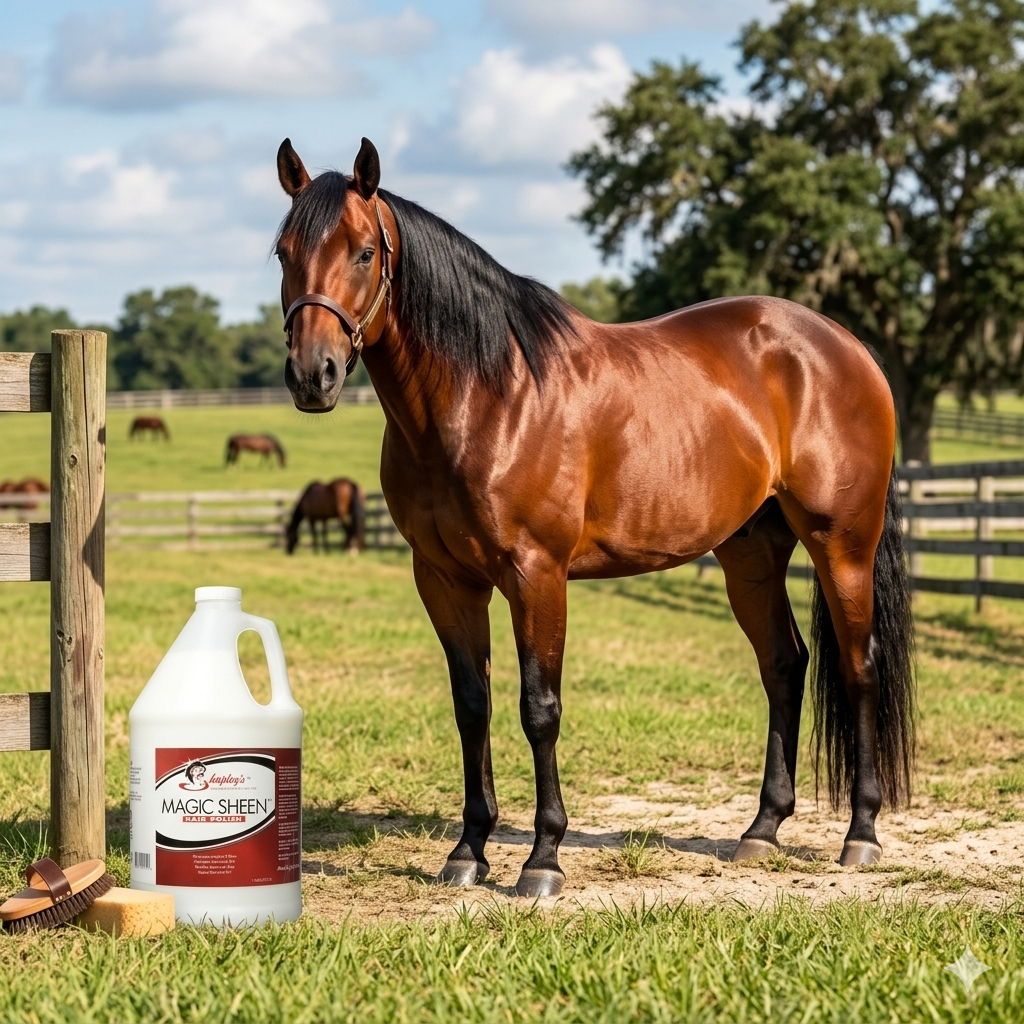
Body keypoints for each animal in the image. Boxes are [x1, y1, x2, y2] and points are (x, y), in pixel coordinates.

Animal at [273, 136, 915, 897]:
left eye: (365, 251)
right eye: (282, 252)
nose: (313, 375)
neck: (487, 394)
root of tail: (846, 348)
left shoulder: (536, 575)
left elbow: (539, 708)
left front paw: (543, 858)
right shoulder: (445, 580)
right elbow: (472, 705)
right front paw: (469, 850)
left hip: (841, 544)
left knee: (859, 667)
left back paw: (861, 834)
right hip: (750, 554)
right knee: (785, 666)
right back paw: (761, 830)